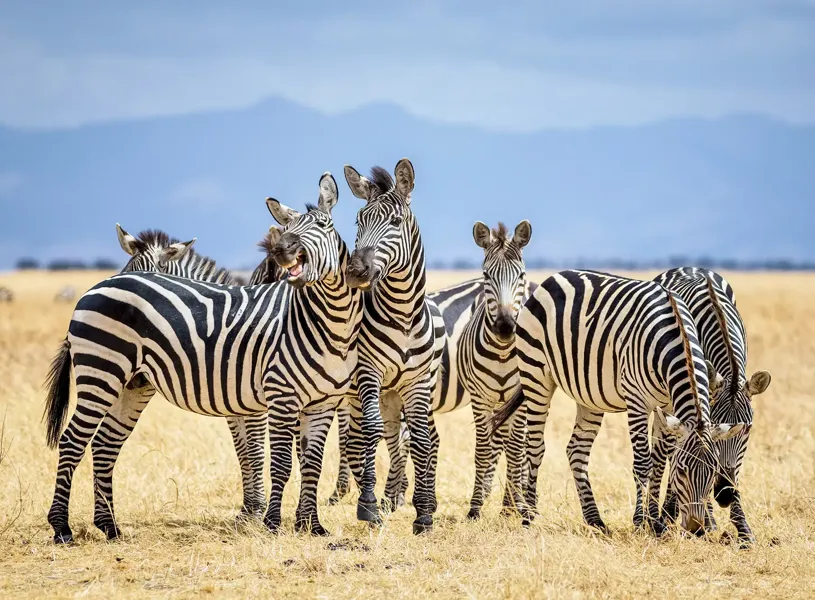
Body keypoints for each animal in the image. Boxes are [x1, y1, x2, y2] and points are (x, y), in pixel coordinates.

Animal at [43, 173, 362, 543]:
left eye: (323, 225)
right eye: (287, 228)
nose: (283, 250)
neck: (328, 321)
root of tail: (93, 289)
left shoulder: (319, 402)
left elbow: (308, 461)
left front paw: (310, 525)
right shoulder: (276, 397)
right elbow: (272, 458)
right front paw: (267, 520)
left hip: (132, 384)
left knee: (105, 445)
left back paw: (109, 526)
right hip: (101, 372)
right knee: (72, 441)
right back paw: (62, 528)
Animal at [342, 158, 446, 534]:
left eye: (396, 222)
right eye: (358, 221)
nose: (355, 272)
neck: (402, 314)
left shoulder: (416, 382)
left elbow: (422, 438)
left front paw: (424, 514)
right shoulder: (368, 373)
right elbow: (371, 433)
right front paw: (369, 505)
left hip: (403, 390)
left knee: (408, 438)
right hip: (370, 393)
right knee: (374, 437)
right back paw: (383, 499)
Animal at [491, 270, 747, 535]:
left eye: (713, 472)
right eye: (682, 471)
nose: (696, 529)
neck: (675, 340)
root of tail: (554, 277)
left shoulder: (667, 406)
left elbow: (658, 462)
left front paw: (655, 523)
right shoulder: (637, 401)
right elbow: (643, 463)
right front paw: (640, 521)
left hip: (588, 396)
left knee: (577, 450)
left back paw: (595, 520)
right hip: (536, 375)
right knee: (535, 446)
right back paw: (529, 516)